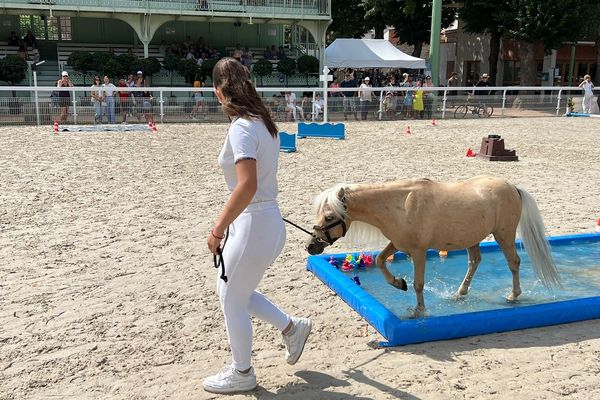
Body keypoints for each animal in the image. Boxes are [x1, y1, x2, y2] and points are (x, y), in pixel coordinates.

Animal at [308, 175, 560, 316]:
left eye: (329, 216)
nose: (312, 247)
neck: (399, 205)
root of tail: (513, 187)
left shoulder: (418, 251)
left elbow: (418, 284)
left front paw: (419, 310)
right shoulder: (398, 244)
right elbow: (380, 260)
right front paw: (398, 283)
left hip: (504, 236)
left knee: (513, 263)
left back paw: (513, 295)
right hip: (472, 239)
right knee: (474, 262)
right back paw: (460, 293)